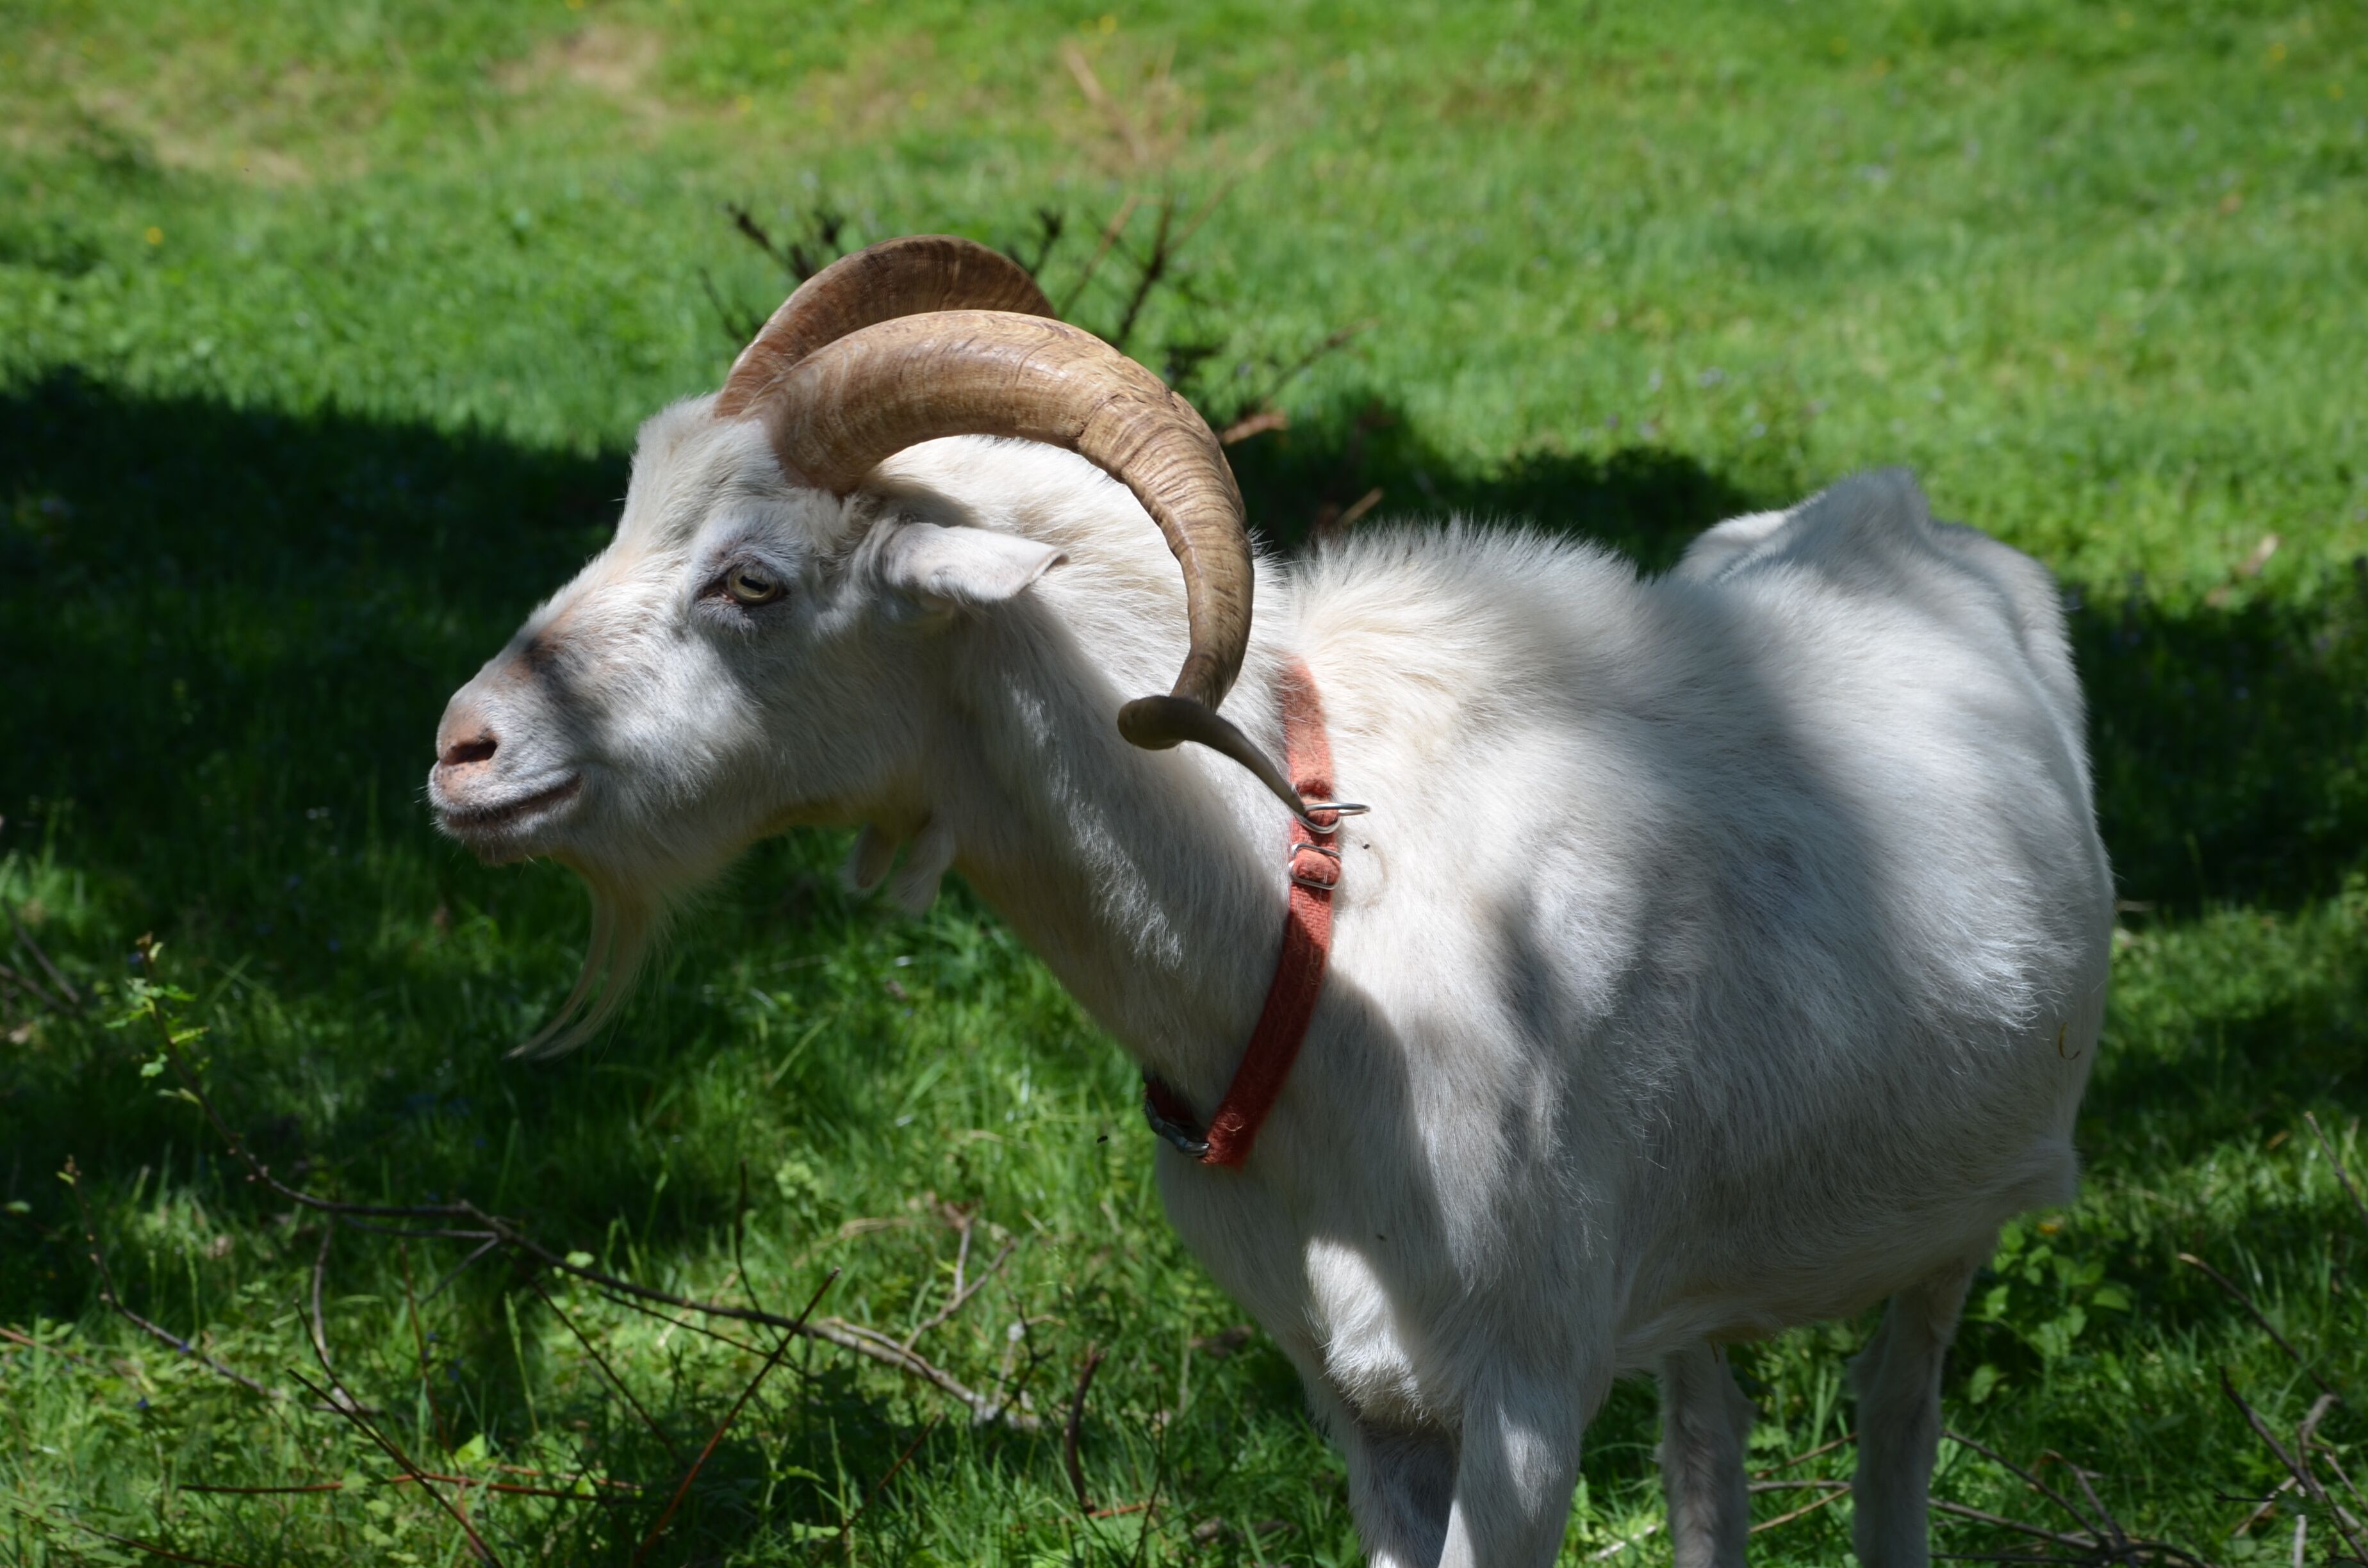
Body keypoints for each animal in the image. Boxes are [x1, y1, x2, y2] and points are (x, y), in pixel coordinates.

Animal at [430, 237, 2112, 1568]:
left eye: (754, 581)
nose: (463, 750)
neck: (1324, 928)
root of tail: (1903, 513)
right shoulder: (1356, 1388)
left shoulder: (1526, 1396)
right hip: (1701, 1284)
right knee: (1717, 1441)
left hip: (1946, 1235)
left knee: (1895, 1419)